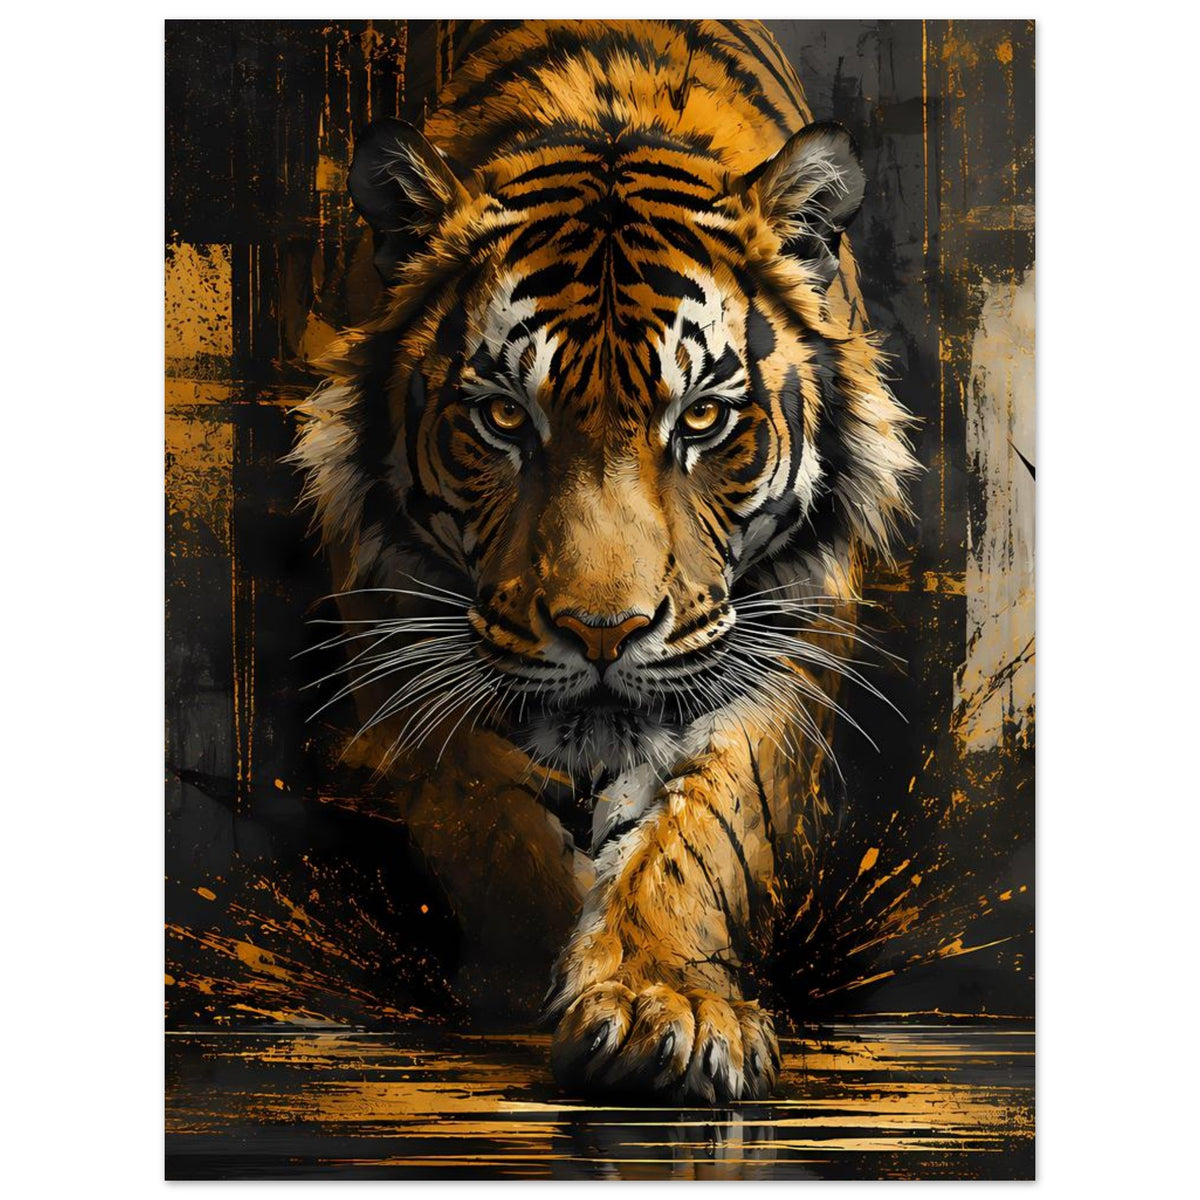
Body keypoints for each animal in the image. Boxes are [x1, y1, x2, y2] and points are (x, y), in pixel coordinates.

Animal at [291, 19, 917, 1103]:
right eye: (504, 418)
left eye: (702, 419)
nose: (602, 632)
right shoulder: (397, 621)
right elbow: (485, 820)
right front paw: (524, 980)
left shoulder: (783, 635)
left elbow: (705, 832)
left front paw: (663, 1009)